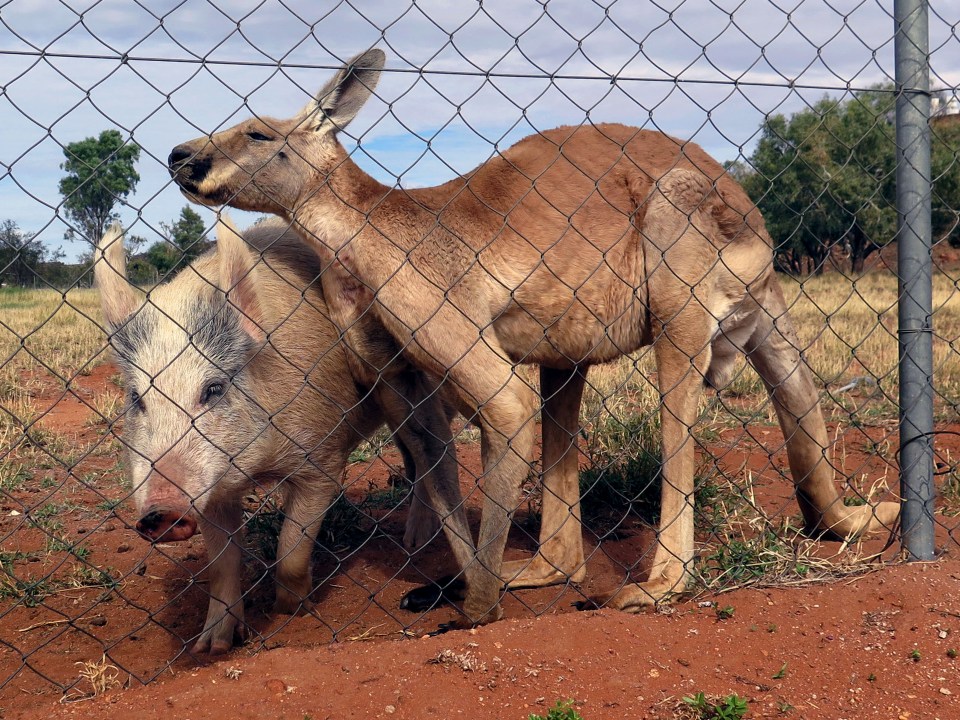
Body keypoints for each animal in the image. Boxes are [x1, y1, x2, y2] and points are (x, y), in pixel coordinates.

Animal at [96, 217, 472, 656]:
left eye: (213, 389)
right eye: (137, 398)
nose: (159, 512)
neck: (259, 468)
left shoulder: (322, 456)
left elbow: (291, 546)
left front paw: (292, 610)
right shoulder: (211, 491)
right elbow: (222, 563)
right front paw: (212, 646)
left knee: (436, 452)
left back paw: (415, 543)